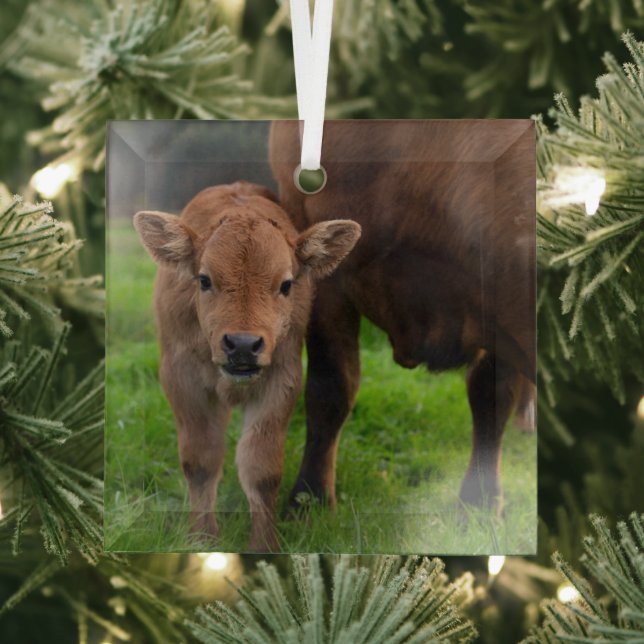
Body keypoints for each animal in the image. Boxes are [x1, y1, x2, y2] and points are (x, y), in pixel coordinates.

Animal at [133, 181, 361, 551]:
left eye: (286, 284)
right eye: (204, 280)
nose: (241, 344)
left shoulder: (281, 380)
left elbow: (261, 469)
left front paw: (265, 546)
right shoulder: (182, 381)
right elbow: (201, 460)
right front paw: (201, 539)